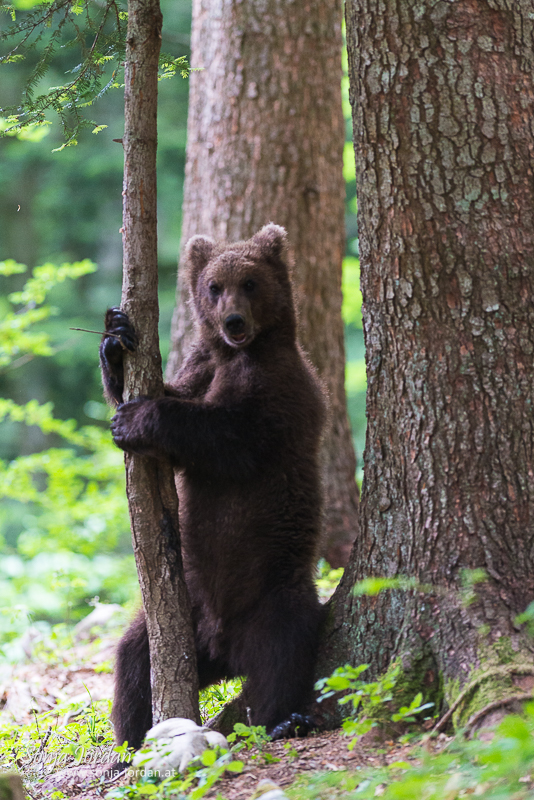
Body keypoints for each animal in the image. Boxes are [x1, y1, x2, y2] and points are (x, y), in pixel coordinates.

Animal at [100, 223, 326, 752]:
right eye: (214, 286)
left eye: (250, 282)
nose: (234, 321)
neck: (236, 353)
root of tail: (225, 648)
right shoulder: (201, 367)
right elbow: (171, 390)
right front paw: (116, 339)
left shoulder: (277, 393)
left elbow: (228, 436)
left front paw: (135, 418)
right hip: (187, 615)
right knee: (134, 658)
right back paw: (128, 744)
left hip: (274, 590)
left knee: (283, 652)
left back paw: (284, 720)